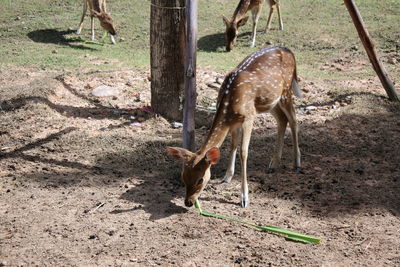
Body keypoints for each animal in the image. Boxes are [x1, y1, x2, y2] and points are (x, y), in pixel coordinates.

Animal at [167, 46, 302, 209]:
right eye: (183, 176)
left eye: (200, 179)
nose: (188, 202)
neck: (229, 104)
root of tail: (289, 51)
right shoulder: (234, 122)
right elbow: (233, 146)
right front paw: (226, 177)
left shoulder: (249, 116)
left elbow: (243, 152)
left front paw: (244, 198)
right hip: (270, 102)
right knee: (282, 120)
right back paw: (273, 164)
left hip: (286, 91)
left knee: (293, 120)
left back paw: (297, 163)